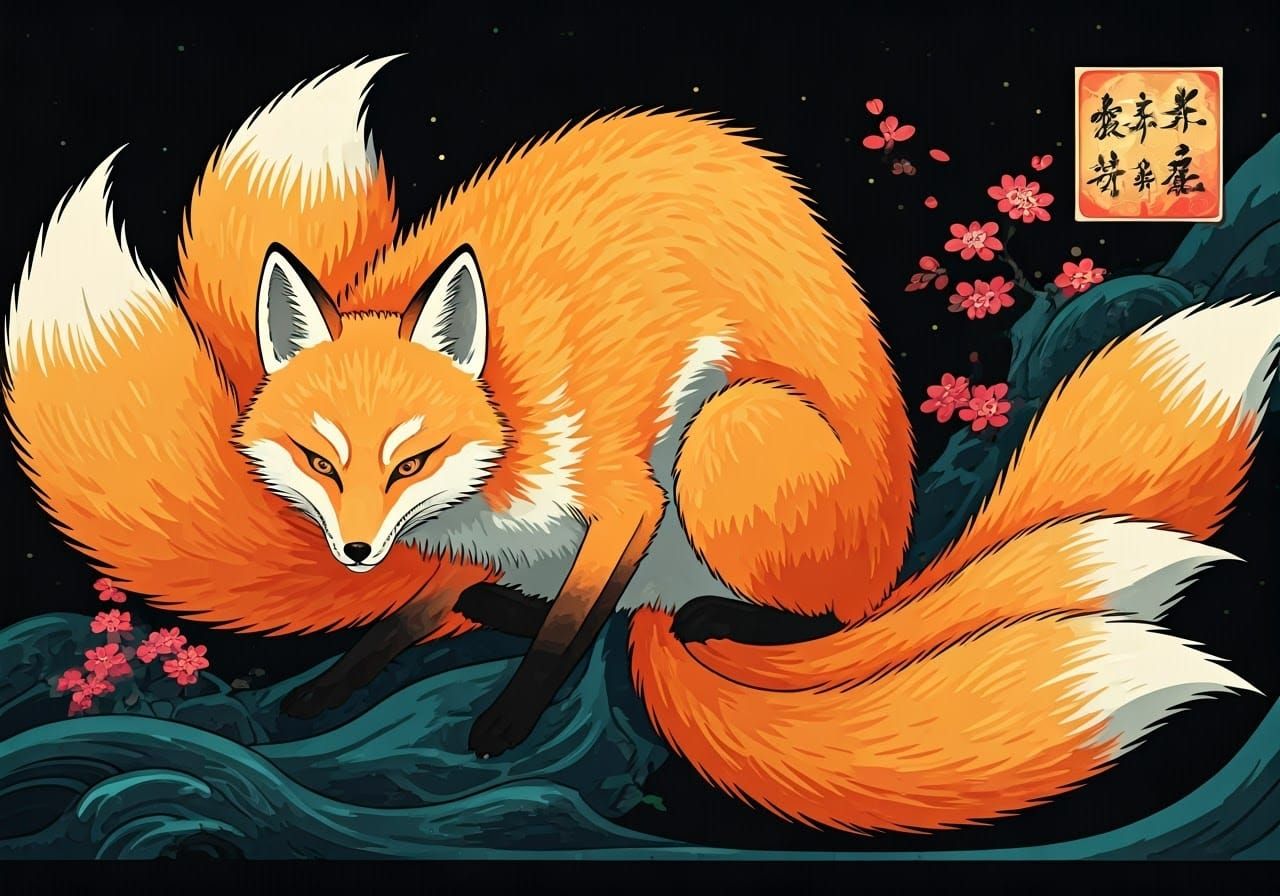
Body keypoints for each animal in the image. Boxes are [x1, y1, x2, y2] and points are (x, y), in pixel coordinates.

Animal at [5, 56, 1276, 834]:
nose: (357, 548)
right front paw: (341, 676)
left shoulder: (618, 494)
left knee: (731, 612)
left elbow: (568, 622)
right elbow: (421, 612)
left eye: (410, 457)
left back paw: (704, 618)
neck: (505, 433)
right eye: (322, 460)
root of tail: (892, 562)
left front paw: (504, 719)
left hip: (725, 432)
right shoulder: (472, 540)